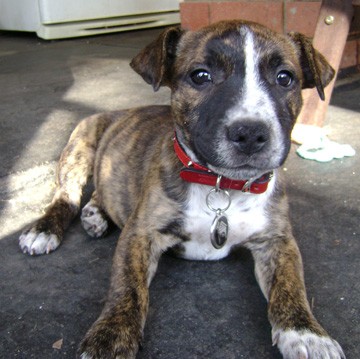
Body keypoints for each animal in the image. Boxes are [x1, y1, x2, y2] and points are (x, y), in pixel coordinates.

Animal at [18, 20, 344, 359]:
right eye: (200, 76)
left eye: (285, 78)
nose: (251, 133)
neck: (221, 185)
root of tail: (119, 112)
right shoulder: (140, 233)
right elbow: (128, 286)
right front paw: (110, 335)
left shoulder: (277, 241)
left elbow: (291, 286)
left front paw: (306, 333)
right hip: (79, 148)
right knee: (65, 197)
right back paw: (44, 229)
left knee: (99, 194)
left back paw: (95, 214)